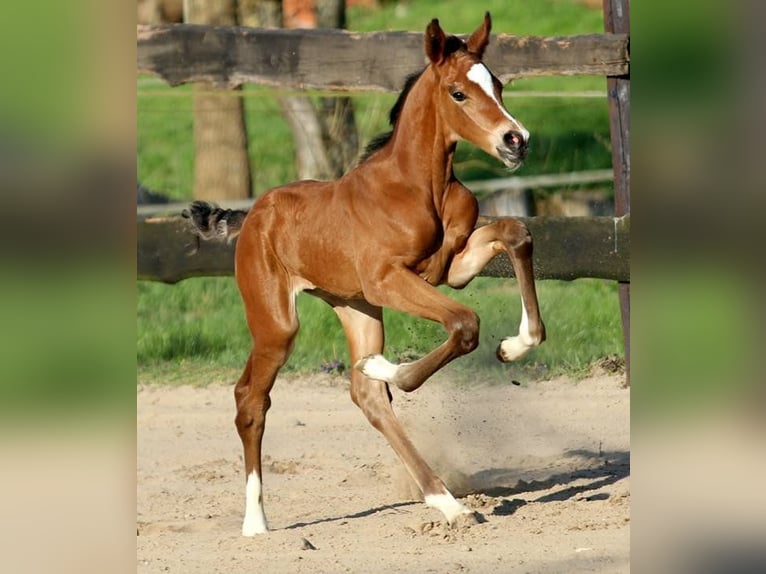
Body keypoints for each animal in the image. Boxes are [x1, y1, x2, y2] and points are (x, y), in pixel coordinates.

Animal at [186, 12, 544, 536]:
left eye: (497, 85)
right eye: (458, 92)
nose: (515, 141)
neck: (420, 186)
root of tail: (250, 215)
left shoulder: (451, 269)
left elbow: (516, 234)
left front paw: (513, 346)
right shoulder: (388, 279)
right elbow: (464, 324)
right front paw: (387, 366)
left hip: (355, 306)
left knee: (366, 398)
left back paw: (448, 503)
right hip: (278, 324)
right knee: (250, 397)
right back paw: (256, 520)